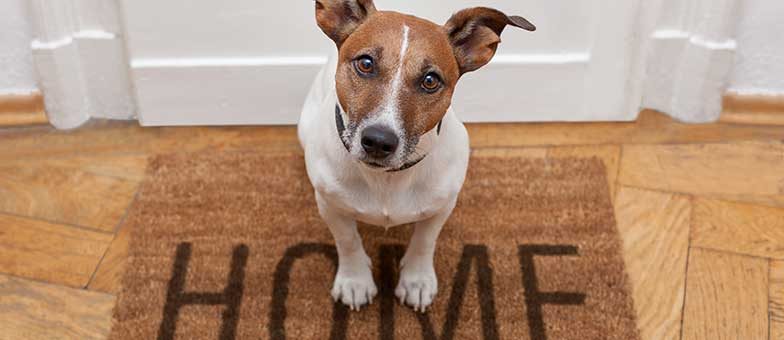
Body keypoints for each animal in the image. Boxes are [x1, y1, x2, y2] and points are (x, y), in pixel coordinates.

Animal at [298, 0, 532, 312]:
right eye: (365, 63)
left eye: (430, 80)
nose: (378, 141)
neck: (386, 179)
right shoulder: (330, 205)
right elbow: (347, 240)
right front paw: (354, 280)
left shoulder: (442, 206)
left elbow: (424, 241)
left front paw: (416, 281)